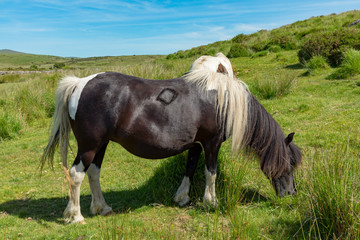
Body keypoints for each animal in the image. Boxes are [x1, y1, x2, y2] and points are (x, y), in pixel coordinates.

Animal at [41, 54, 300, 223]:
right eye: (289, 164)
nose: (291, 194)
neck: (223, 99)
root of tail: (79, 83)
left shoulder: (196, 144)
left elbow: (190, 167)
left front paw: (182, 197)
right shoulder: (212, 143)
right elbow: (211, 172)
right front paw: (211, 202)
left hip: (101, 145)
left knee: (93, 173)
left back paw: (102, 208)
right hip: (89, 146)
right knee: (76, 175)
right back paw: (75, 216)